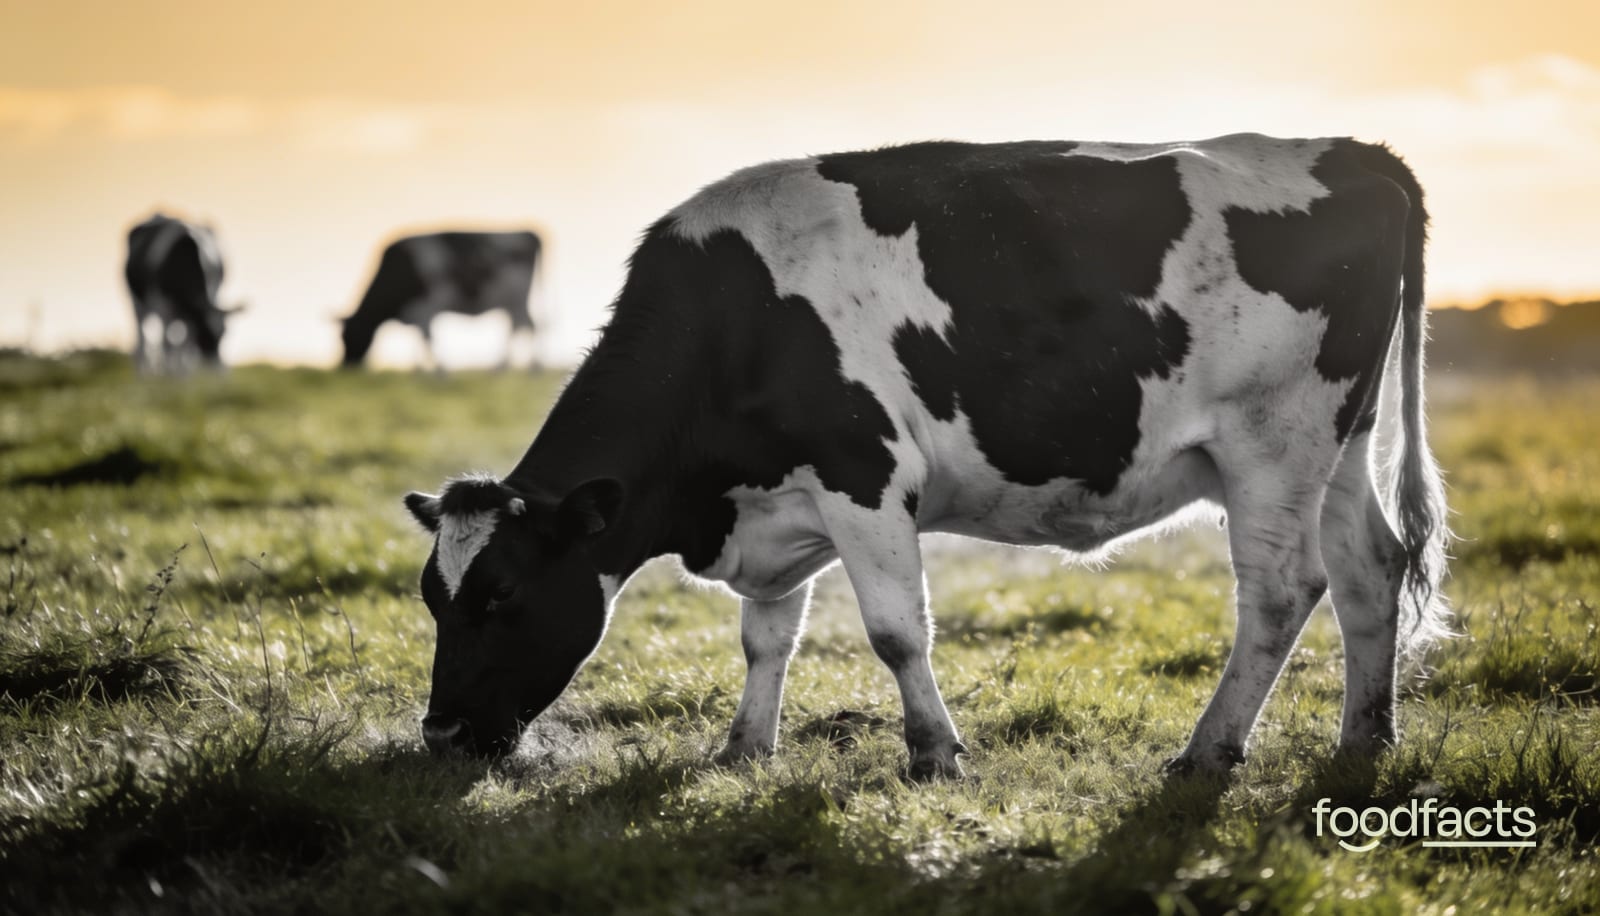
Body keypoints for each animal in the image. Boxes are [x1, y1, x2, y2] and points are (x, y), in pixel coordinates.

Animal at [125, 212, 241, 372]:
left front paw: (183, 373)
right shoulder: (163, 304)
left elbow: (186, 341)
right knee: (141, 337)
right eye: (204, 334)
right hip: (136, 301)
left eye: (225, 333)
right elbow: (166, 341)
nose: (218, 371)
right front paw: (169, 373)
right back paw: (144, 373)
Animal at [340, 231, 541, 368]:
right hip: (513, 302)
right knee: (525, 325)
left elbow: (429, 341)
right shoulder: (418, 314)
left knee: (524, 326)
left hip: (517, 299)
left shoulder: (425, 308)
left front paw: (438, 376)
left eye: (348, 336)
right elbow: (423, 341)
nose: (346, 365)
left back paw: (512, 369)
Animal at [402, 134, 1449, 779]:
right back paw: (1365, 741)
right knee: (1371, 566)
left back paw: (1207, 753)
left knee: (1281, 589)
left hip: (1273, 441)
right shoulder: (781, 502)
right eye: (431, 598)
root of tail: (1351, 153)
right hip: (1341, 443)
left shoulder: (862, 476)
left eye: (502, 594)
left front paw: (934, 755)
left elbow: (896, 632)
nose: (441, 732)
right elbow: (766, 637)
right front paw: (744, 750)